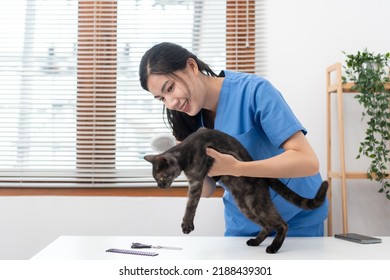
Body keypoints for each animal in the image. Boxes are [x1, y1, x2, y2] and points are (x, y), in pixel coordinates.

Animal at [145, 128, 328, 255]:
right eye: (155, 179)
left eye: (161, 178)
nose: (160, 186)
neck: (184, 151)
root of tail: (264, 176)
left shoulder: (196, 181)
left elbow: (191, 205)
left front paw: (187, 224)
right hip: (244, 205)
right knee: (268, 226)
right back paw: (255, 241)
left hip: (256, 203)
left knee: (282, 224)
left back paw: (273, 247)